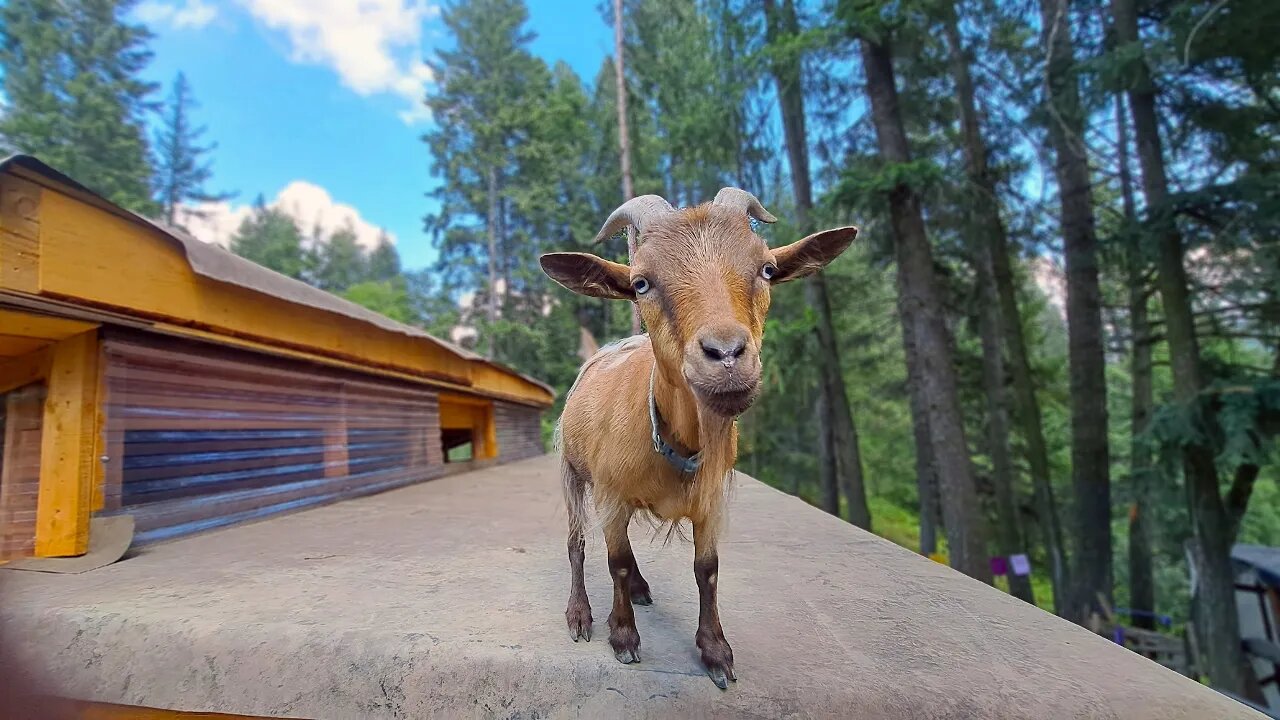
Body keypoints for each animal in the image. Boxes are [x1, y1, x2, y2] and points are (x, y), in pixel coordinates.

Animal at [535, 188, 855, 686]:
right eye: (641, 283)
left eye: (767, 269)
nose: (726, 355)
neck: (676, 443)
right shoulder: (609, 494)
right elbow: (615, 561)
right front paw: (623, 636)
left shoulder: (711, 499)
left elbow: (707, 569)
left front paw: (716, 651)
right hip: (571, 470)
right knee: (577, 544)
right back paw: (580, 614)